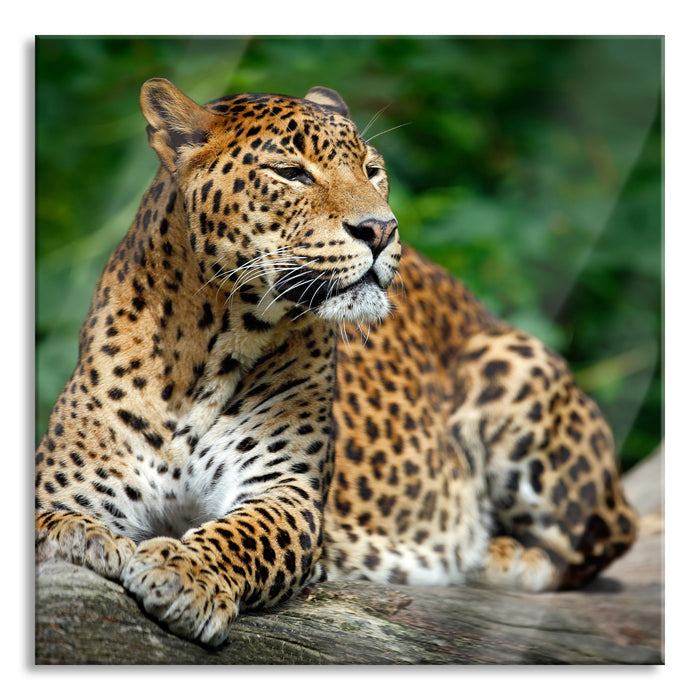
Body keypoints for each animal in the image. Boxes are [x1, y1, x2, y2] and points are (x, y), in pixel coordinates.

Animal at [35, 78, 637, 647]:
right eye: (291, 173)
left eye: (373, 171)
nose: (382, 229)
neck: (208, 349)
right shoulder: (67, 484)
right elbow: (52, 519)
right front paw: (83, 538)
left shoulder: (285, 493)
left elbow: (241, 535)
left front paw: (184, 572)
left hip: (514, 365)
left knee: (605, 536)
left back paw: (495, 555)